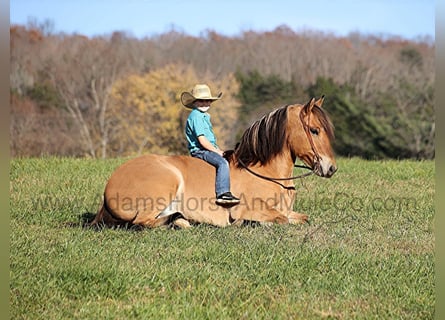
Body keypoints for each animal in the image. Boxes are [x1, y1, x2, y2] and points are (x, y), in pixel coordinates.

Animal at [92, 95, 334, 228]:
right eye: (314, 130)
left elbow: (302, 217)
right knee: (142, 222)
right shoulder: (249, 208)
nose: (331, 168)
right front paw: (248, 223)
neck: (268, 173)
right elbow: (279, 219)